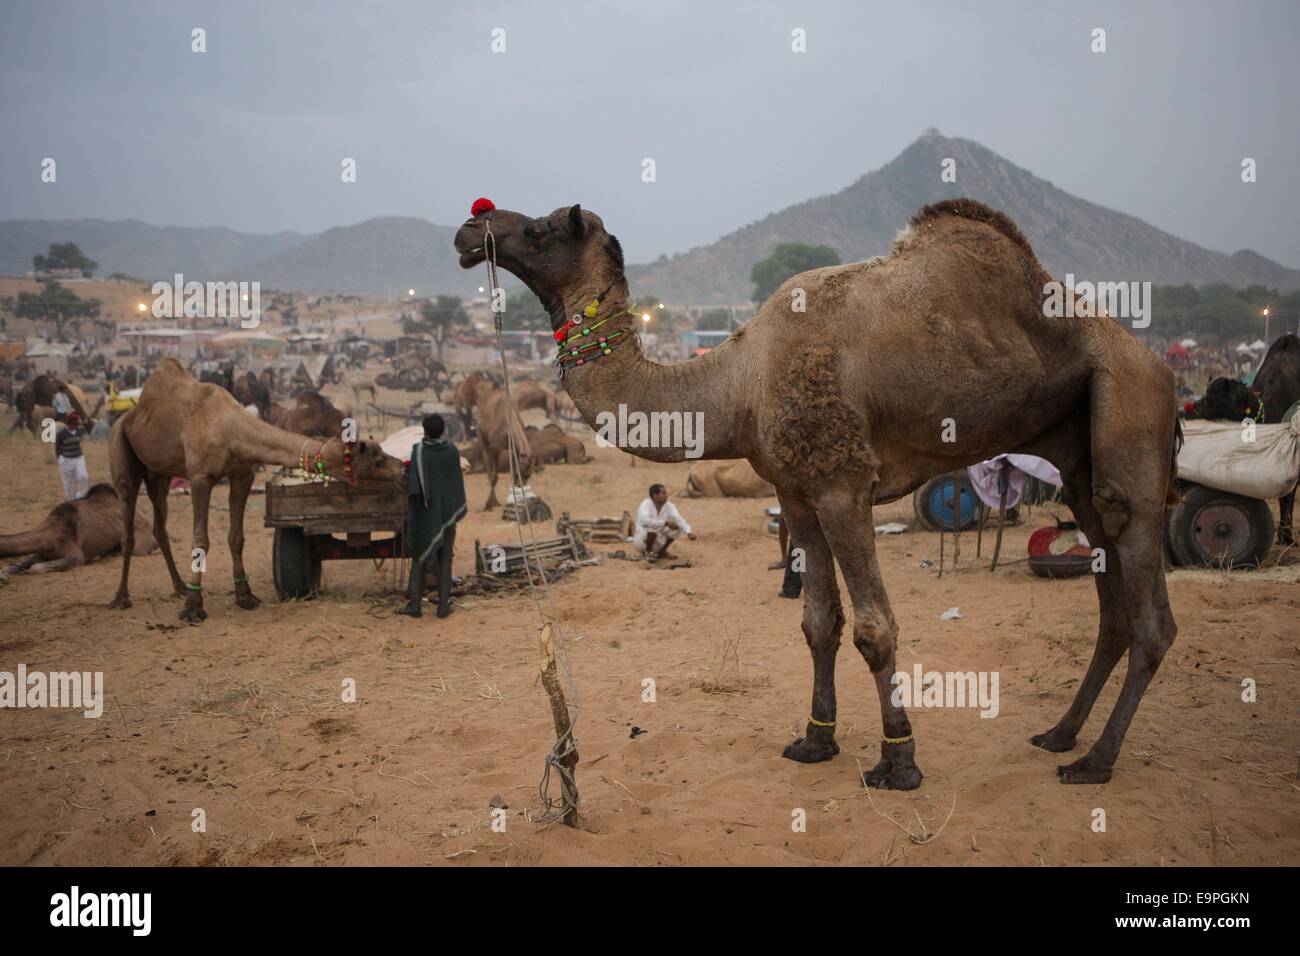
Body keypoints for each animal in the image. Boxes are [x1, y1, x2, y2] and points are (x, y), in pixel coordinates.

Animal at [1, 481, 157, 580]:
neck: (50, 532)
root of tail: (150, 523)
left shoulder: (73, 553)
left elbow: (36, 568)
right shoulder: (42, 553)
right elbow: (15, 565)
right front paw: (5, 575)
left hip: (135, 541)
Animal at [111, 356, 400, 621]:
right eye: (377, 458)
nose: (401, 466)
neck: (231, 430)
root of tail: (129, 416)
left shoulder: (242, 475)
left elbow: (236, 537)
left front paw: (245, 596)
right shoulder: (199, 477)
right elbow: (201, 540)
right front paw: (193, 608)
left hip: (159, 473)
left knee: (160, 524)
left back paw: (179, 586)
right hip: (122, 450)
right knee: (127, 523)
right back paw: (121, 597)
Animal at [462, 197, 1185, 790]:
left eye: (540, 228)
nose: (470, 229)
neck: (739, 383)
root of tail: (1157, 361)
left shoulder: (842, 486)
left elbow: (874, 627)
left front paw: (899, 761)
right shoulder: (797, 491)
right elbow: (818, 622)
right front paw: (815, 740)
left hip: (1130, 401)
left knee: (1148, 598)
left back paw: (1096, 760)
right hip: (1075, 448)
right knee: (1111, 597)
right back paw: (1061, 733)